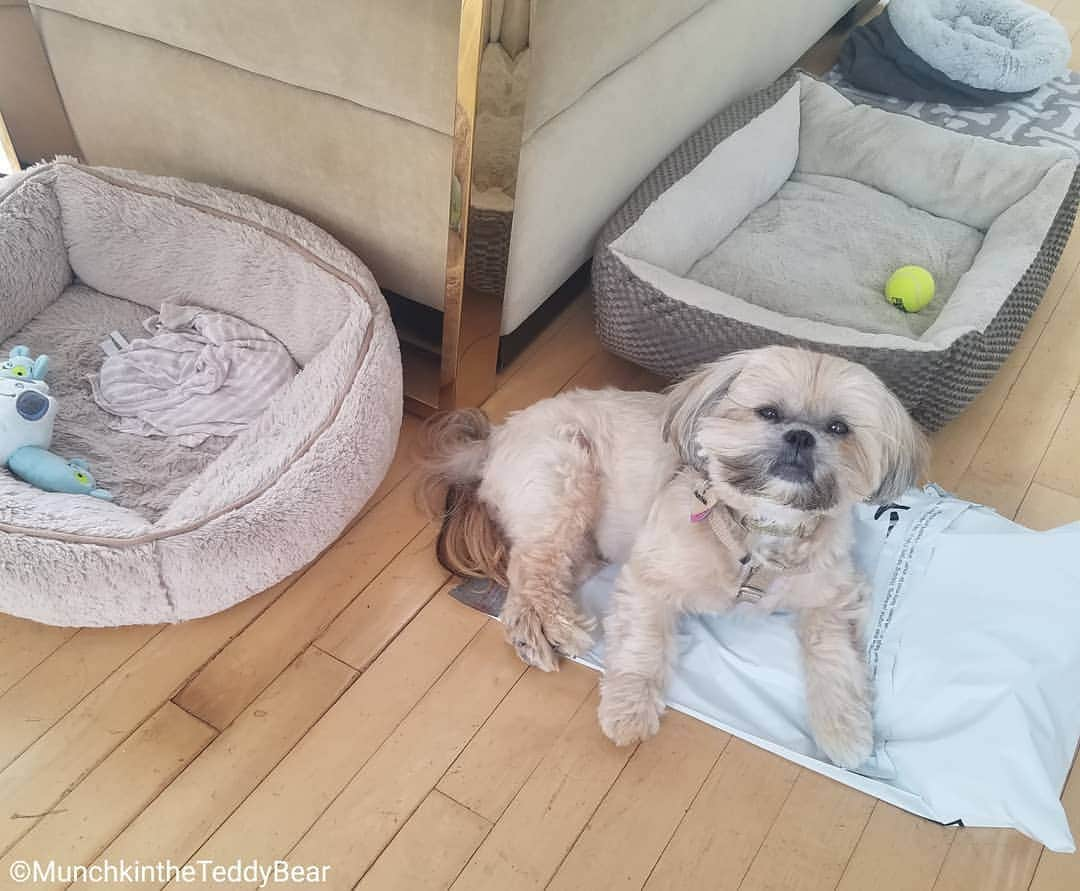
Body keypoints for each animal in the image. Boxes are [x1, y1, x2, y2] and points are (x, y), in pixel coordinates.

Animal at [416, 345, 924, 764]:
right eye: (768, 412)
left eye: (839, 428)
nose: (801, 437)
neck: (759, 530)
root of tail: (497, 435)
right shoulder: (650, 579)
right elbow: (642, 648)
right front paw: (629, 712)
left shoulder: (832, 597)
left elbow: (836, 659)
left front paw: (845, 730)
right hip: (564, 471)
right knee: (530, 569)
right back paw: (547, 625)